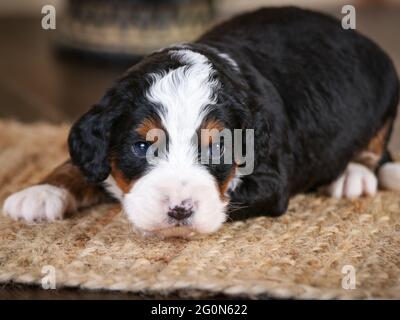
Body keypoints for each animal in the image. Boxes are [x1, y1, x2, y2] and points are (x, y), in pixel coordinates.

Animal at [3, 7, 400, 238]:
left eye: (219, 147)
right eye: (142, 146)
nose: (180, 210)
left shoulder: (271, 178)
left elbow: (226, 195)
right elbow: (80, 164)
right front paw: (41, 192)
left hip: (387, 85)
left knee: (377, 147)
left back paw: (352, 175)